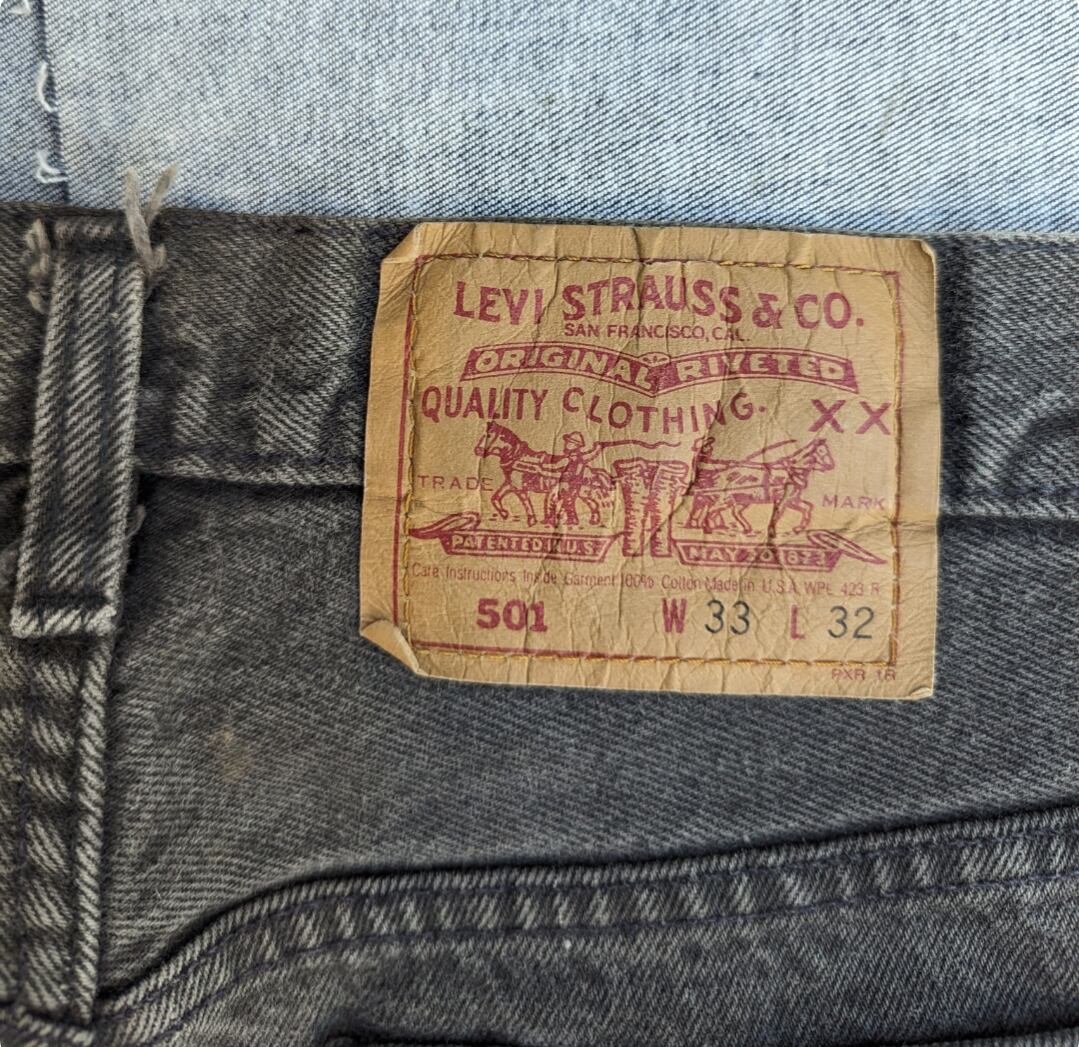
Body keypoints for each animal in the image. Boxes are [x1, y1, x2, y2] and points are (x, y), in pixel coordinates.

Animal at [473, 422, 614, 527]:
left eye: (489, 435)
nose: (477, 450)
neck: (517, 457)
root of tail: (590, 469)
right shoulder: (510, 485)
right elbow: (495, 497)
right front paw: (504, 514)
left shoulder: (520, 489)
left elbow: (526, 503)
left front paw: (531, 521)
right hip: (581, 493)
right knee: (591, 504)